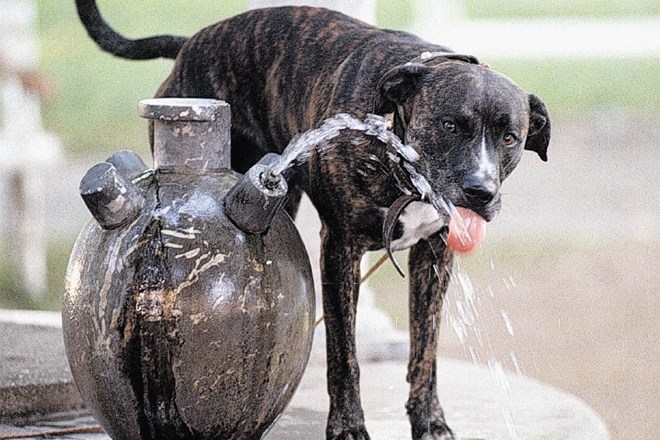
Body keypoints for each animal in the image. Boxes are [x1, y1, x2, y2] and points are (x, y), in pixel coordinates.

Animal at [76, 1, 552, 438]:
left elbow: (425, 351)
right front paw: (347, 426)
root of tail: (193, 42)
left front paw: (430, 421)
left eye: (510, 138)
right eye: (450, 125)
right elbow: (344, 354)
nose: (480, 191)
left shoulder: (434, 256)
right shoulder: (341, 249)